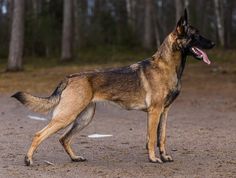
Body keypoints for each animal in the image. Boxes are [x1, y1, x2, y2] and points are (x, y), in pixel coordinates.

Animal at [12, 9, 216, 165]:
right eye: (195, 35)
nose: (214, 43)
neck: (167, 66)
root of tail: (70, 77)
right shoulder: (154, 112)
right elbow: (151, 139)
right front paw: (153, 159)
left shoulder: (164, 112)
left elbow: (162, 137)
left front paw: (164, 156)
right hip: (66, 116)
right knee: (39, 134)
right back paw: (28, 160)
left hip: (84, 118)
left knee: (64, 138)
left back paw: (75, 158)